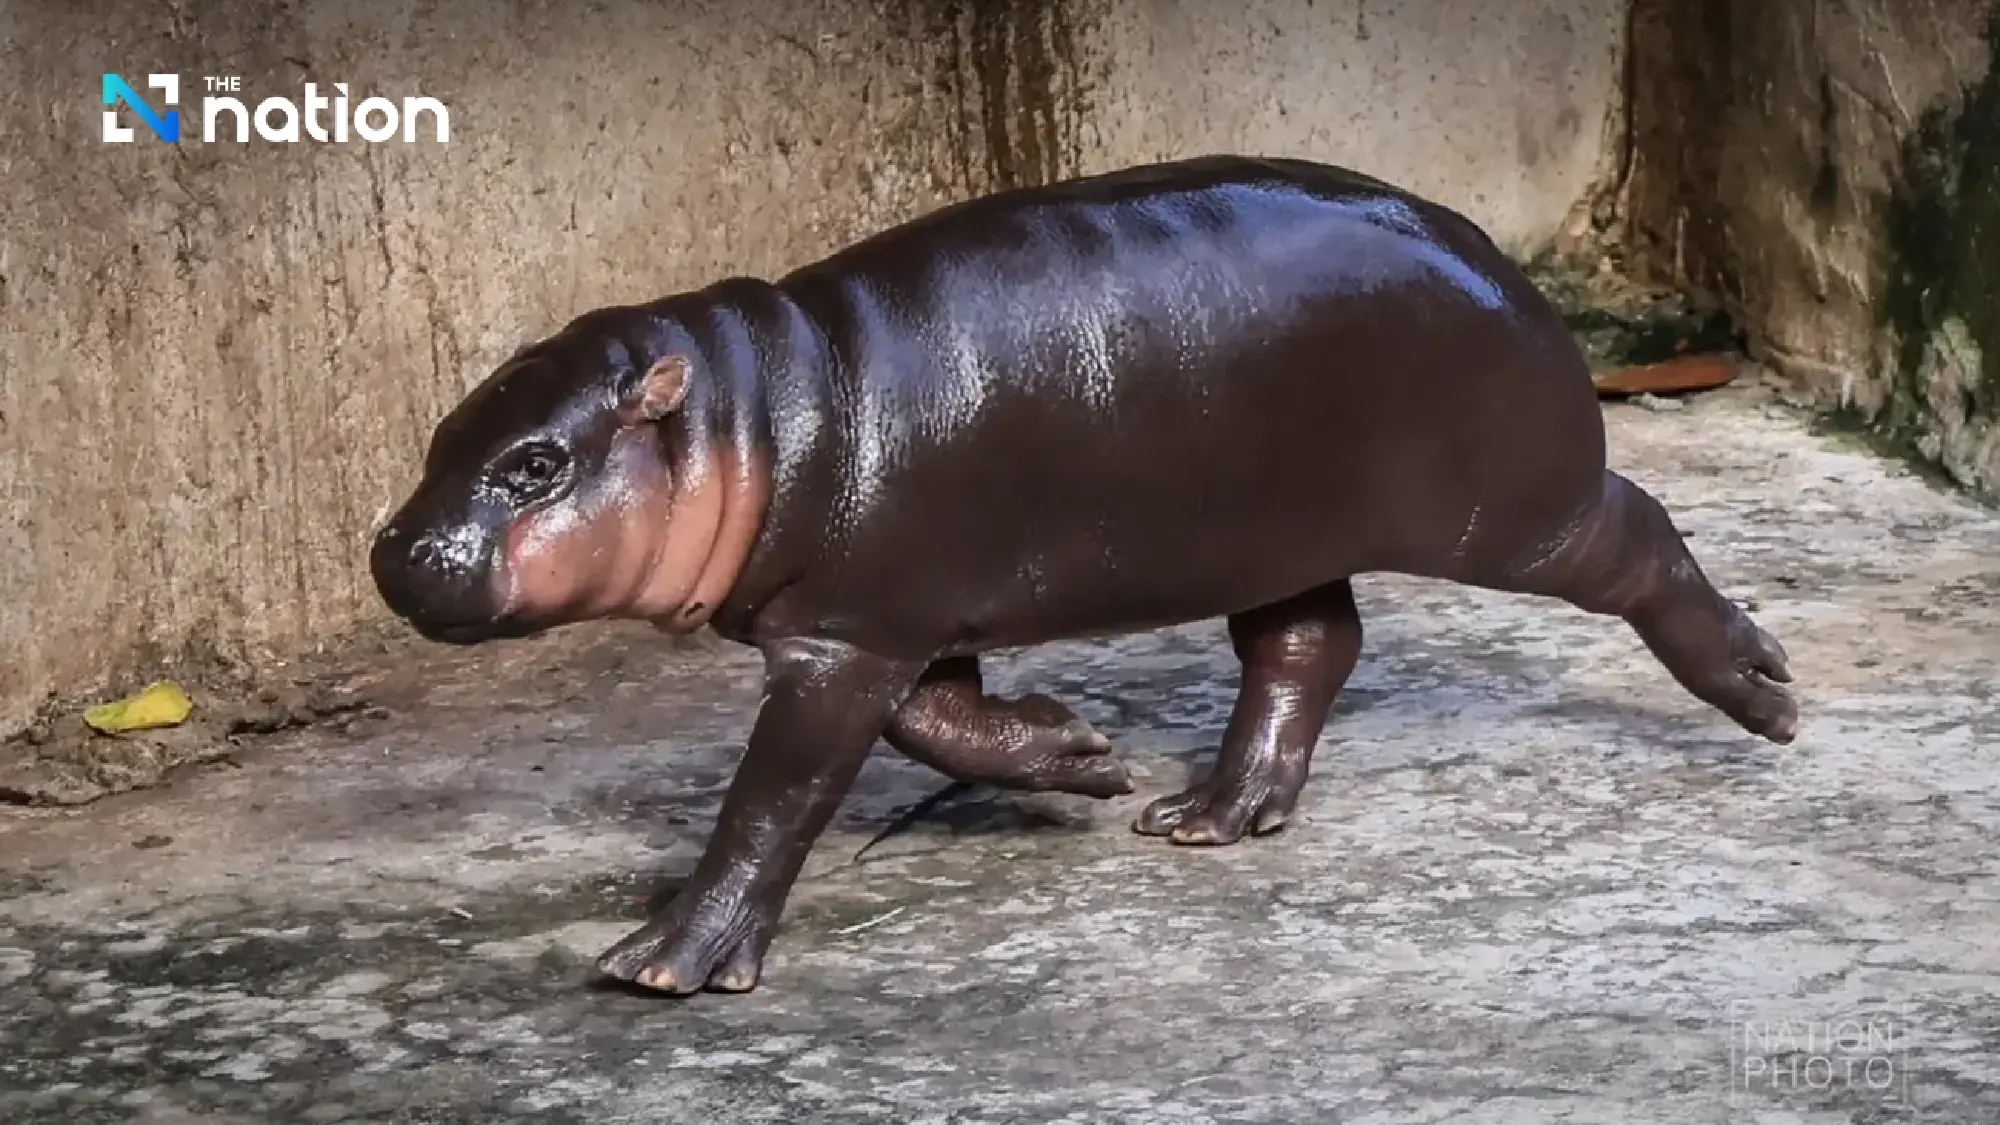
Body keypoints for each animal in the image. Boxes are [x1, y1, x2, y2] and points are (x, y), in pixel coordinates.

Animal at [370, 154, 1798, 995]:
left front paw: (660, 964)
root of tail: (1492, 254)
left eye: (538, 466)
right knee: (1304, 648)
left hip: (1508, 511)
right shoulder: (884, 615)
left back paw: (1767, 697)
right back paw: (1208, 814)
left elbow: (774, 799)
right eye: (440, 436)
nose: (394, 551)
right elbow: (939, 721)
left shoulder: (842, 637)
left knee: (1638, 537)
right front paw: (1081, 757)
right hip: (1273, 531)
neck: (752, 415)